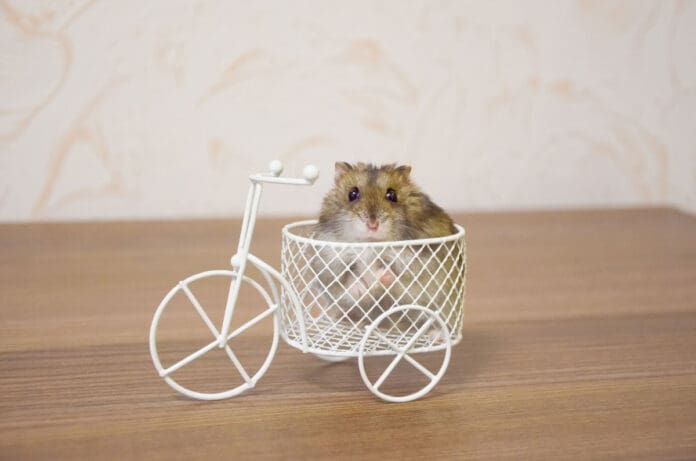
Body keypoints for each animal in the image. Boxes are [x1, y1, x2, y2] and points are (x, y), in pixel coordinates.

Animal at [311, 162, 462, 334]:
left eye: (392, 195)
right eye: (352, 194)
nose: (372, 224)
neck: (370, 243)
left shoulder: (420, 261)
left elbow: (398, 276)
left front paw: (382, 276)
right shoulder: (329, 262)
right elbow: (347, 279)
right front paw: (361, 288)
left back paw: (436, 334)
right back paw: (344, 320)